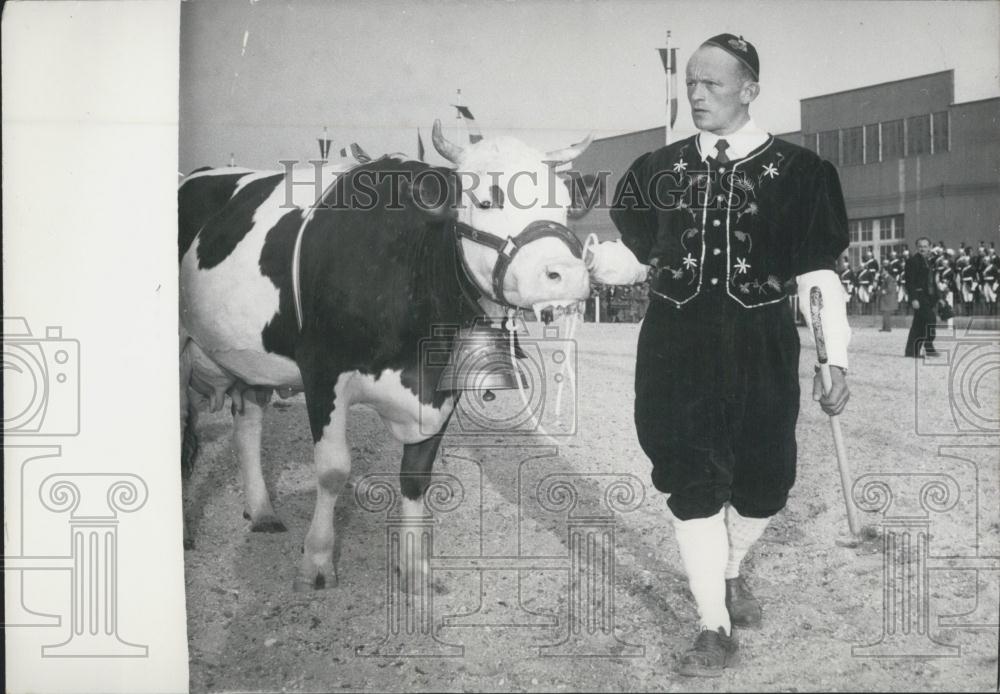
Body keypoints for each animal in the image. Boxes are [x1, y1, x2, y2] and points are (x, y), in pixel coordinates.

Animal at [179, 120, 592, 591]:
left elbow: (416, 475)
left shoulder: (440, 384)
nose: (567, 275)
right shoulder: (322, 370)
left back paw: (262, 510)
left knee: (247, 425)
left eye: (563, 205)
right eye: (486, 200)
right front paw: (317, 560)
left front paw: (414, 567)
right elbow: (333, 470)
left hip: (249, 361)